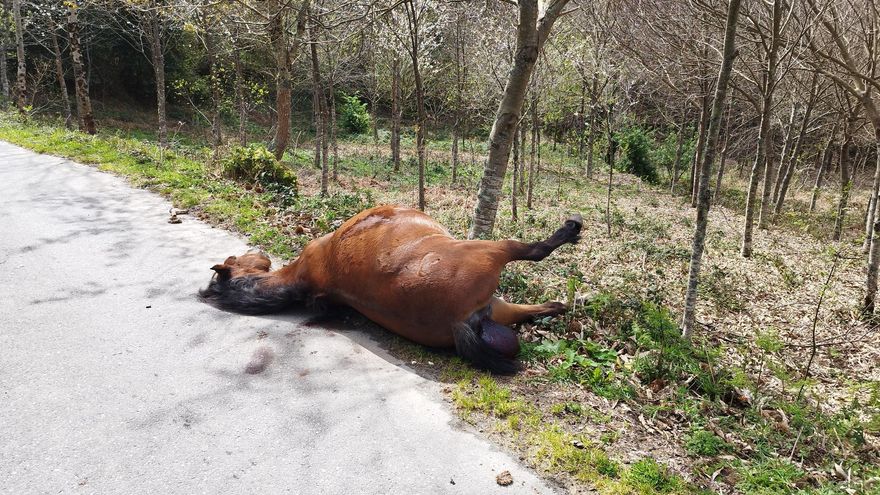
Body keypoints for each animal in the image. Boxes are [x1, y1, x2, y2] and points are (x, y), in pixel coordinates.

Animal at [200, 204, 584, 372]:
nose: (261, 252)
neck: (305, 274)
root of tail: (458, 323)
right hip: (493, 251)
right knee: (535, 252)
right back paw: (570, 229)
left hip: (499, 308)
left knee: (540, 308)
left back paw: (564, 304)